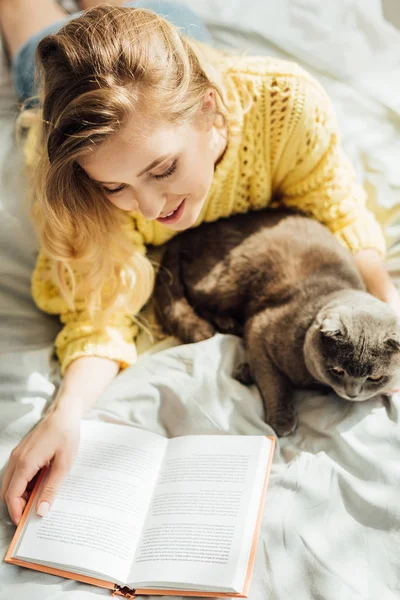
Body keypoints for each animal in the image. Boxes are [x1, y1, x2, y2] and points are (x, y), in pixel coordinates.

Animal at [153, 210, 400, 436]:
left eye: (375, 378)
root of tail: (189, 233)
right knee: (196, 297)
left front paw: (246, 372)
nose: (352, 393)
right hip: (226, 280)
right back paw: (227, 324)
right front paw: (282, 420)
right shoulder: (261, 328)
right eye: (337, 370)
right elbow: (274, 381)